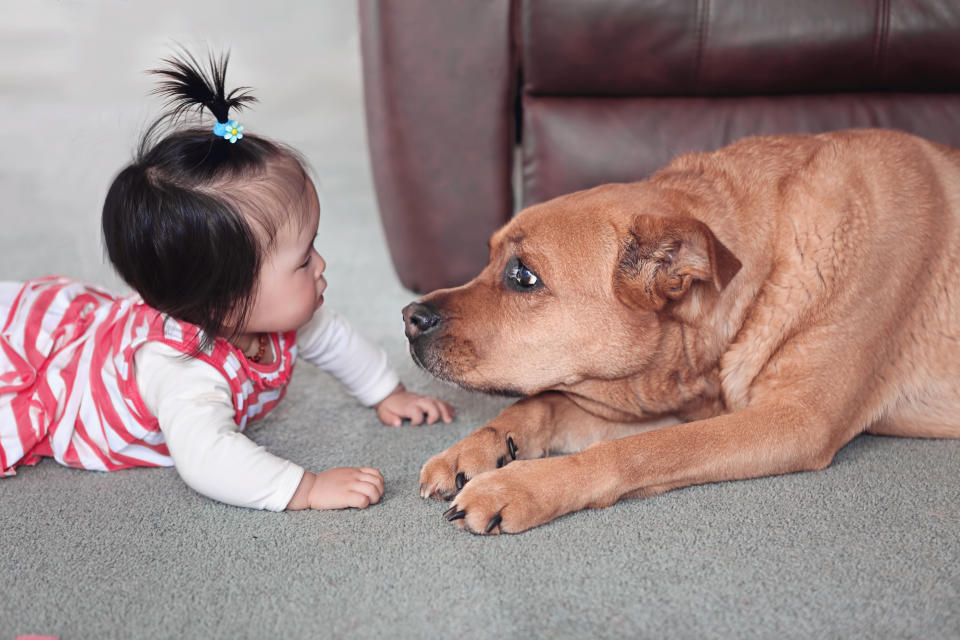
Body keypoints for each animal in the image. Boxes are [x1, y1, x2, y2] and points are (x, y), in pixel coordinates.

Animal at [400, 130, 960, 536]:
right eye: (490, 257)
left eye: (523, 276)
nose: (409, 317)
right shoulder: (653, 397)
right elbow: (543, 403)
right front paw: (477, 446)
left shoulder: (799, 420)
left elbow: (642, 450)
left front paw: (520, 487)